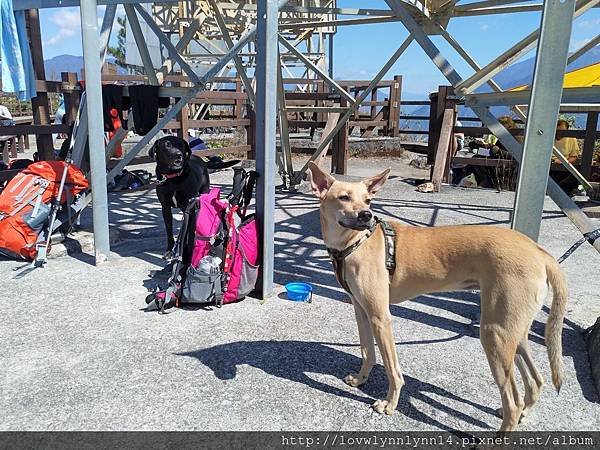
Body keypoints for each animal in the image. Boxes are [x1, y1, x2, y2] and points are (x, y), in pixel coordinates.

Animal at [310, 163, 568, 432]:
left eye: (368, 200)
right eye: (344, 197)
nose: (366, 215)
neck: (356, 243)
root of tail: (540, 252)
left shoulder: (381, 317)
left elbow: (392, 369)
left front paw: (390, 404)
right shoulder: (362, 311)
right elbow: (366, 351)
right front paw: (361, 380)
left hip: (495, 334)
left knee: (513, 401)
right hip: (514, 332)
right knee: (536, 381)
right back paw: (524, 413)